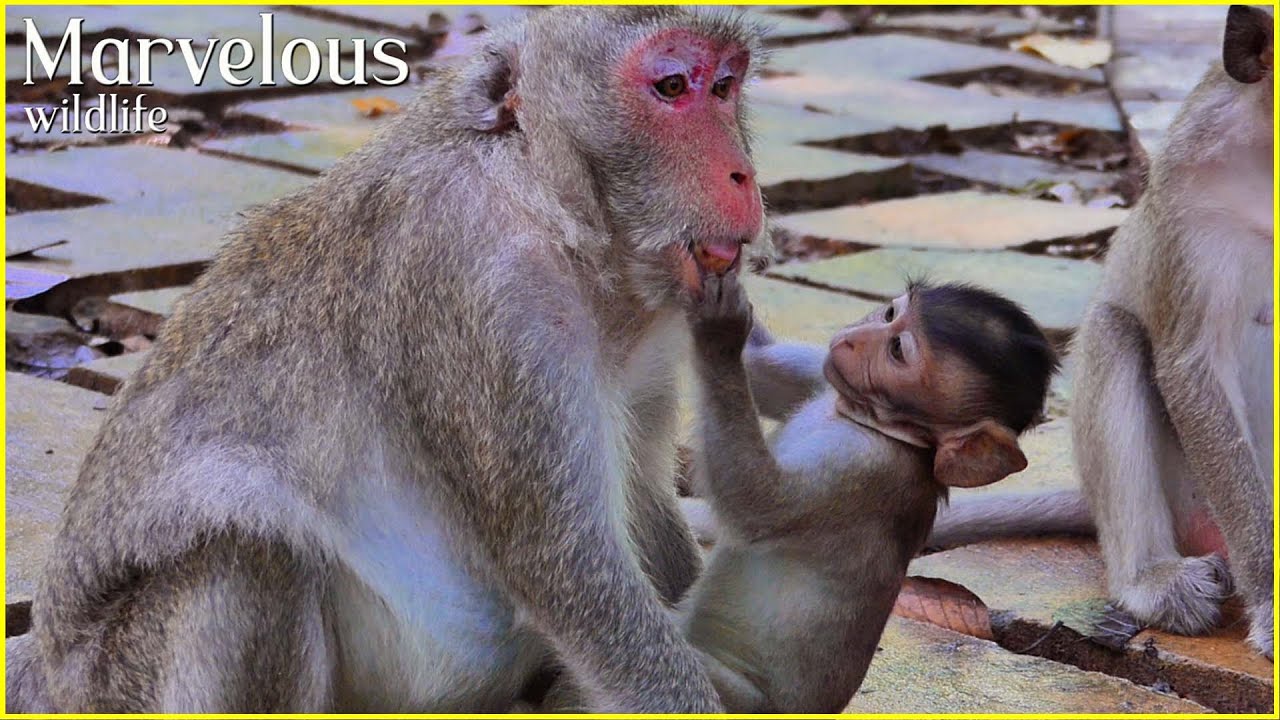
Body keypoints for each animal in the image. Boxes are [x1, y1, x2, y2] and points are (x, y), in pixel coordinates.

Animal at [7, 7, 770, 712]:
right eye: (671, 86)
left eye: (724, 84)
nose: (744, 175)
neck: (550, 201)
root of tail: (48, 665)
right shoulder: (489, 294)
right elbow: (566, 568)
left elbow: (643, 502)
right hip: (122, 677)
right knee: (249, 557)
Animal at [549, 273, 1060, 712]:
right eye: (889, 312)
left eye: (897, 350)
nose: (851, 337)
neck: (870, 422)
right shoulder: (825, 379)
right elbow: (763, 370)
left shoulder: (862, 468)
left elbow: (759, 505)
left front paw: (720, 332)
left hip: (741, 699)